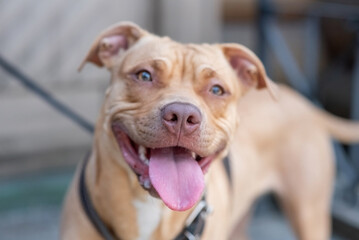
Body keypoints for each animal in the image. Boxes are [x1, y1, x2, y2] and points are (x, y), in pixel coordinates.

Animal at [60, 21, 359, 239]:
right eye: (144, 75)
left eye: (216, 89)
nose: (182, 115)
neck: (151, 206)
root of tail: (305, 104)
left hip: (309, 213)